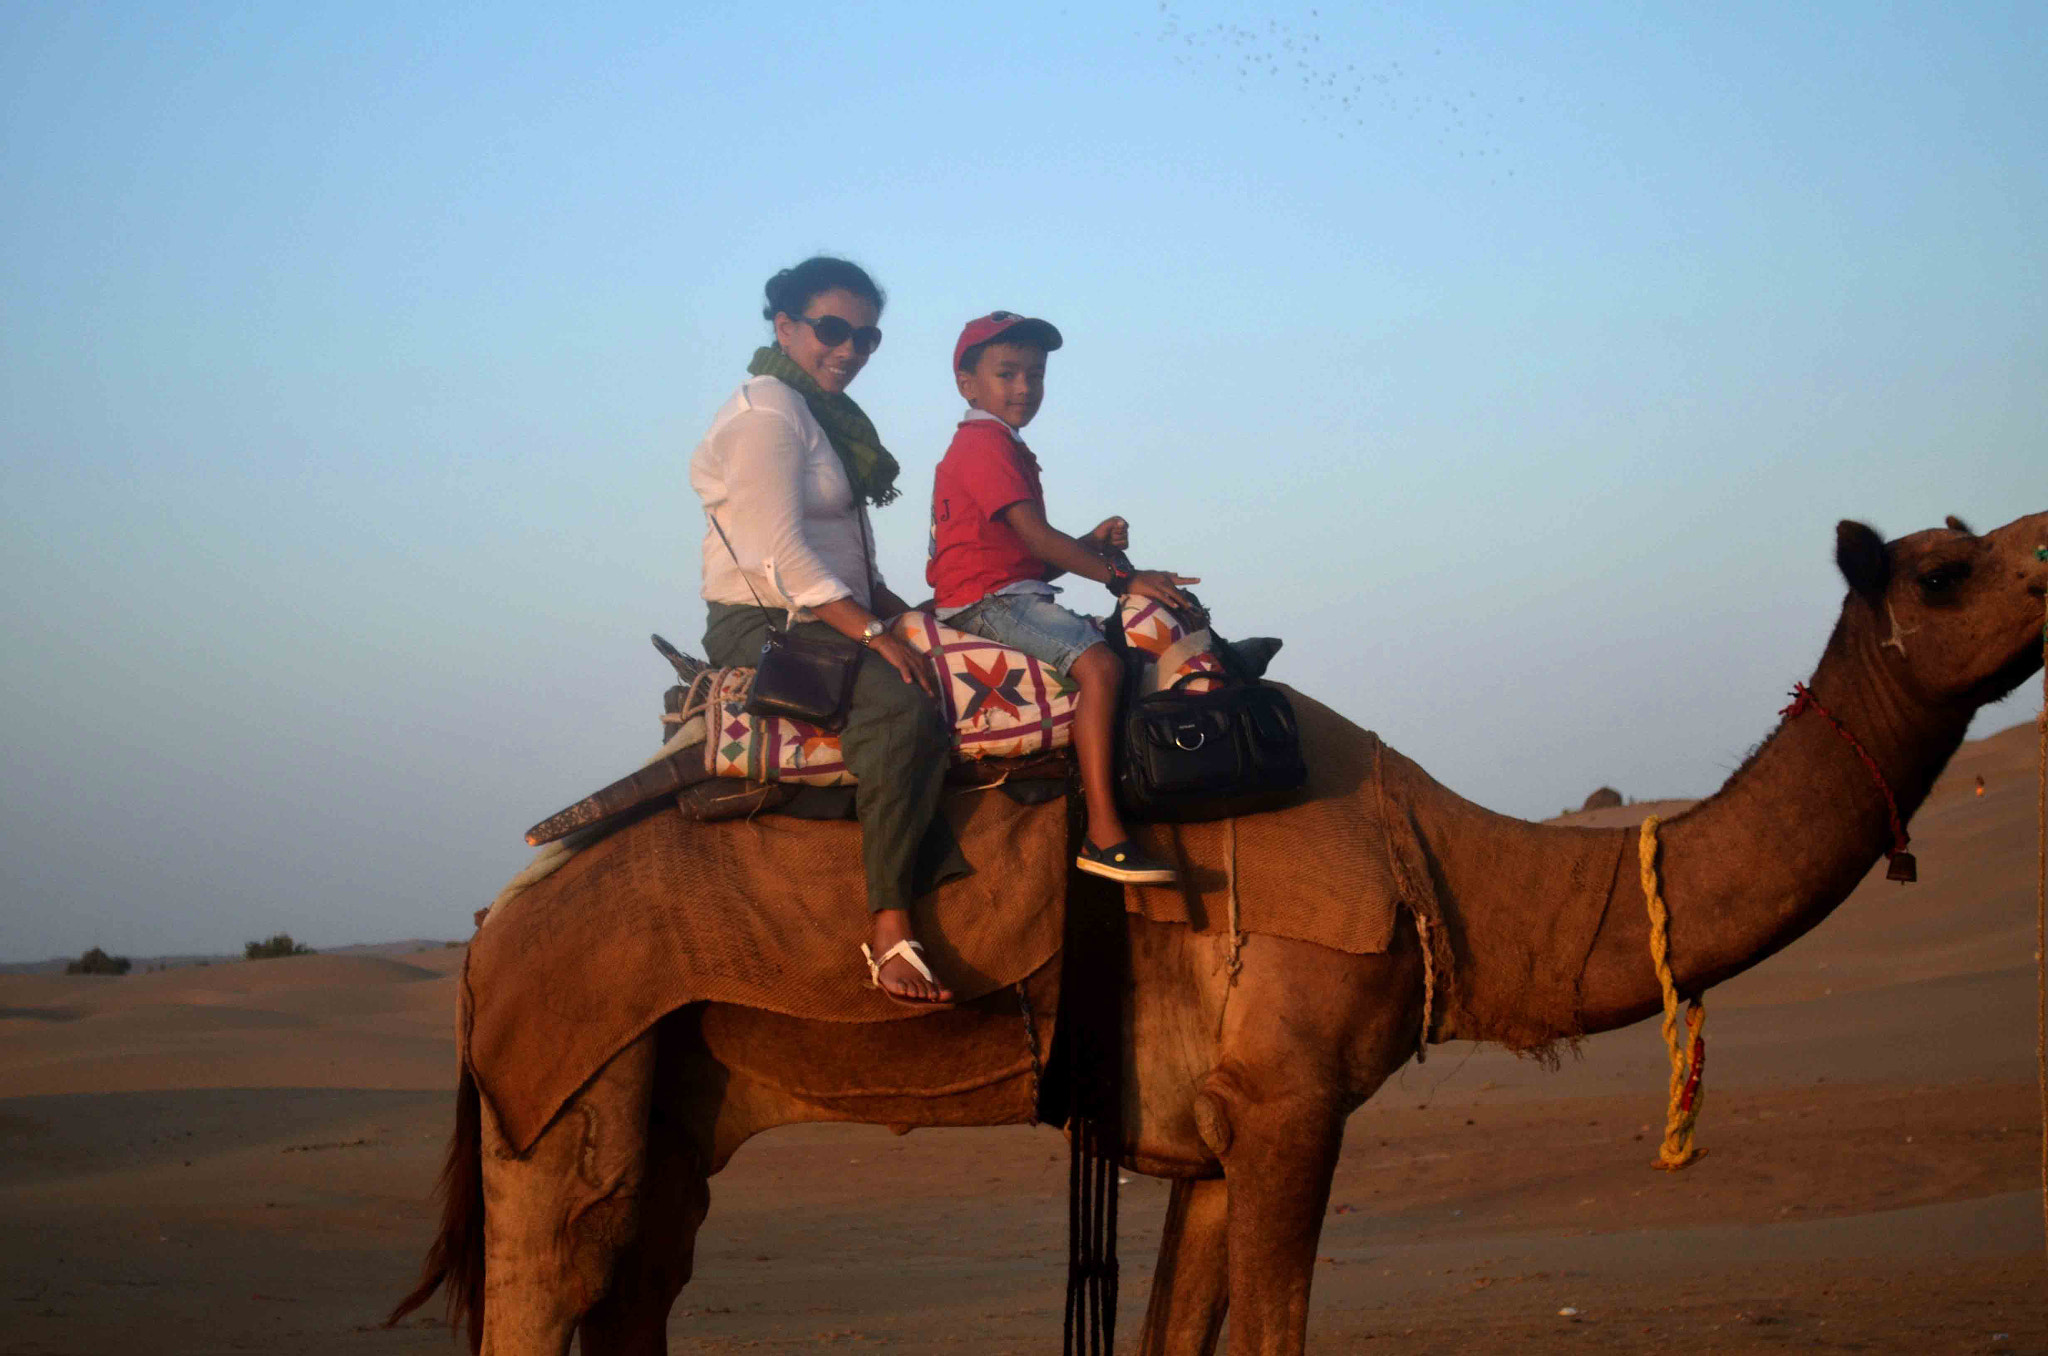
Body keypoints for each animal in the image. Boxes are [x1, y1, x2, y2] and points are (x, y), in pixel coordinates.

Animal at [391, 512, 2039, 1356]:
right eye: (1946, 568)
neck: (1441, 860)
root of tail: (492, 921)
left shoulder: (1206, 1135)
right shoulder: (1293, 1100)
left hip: (665, 1086)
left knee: (641, 1282)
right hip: (560, 1076)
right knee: (551, 1286)